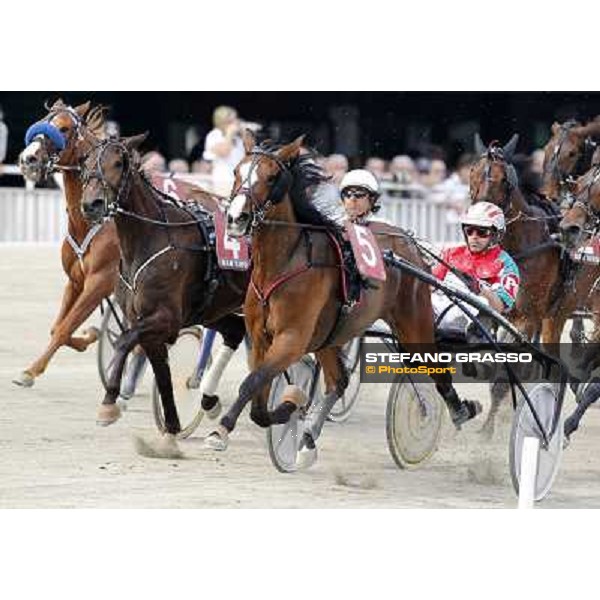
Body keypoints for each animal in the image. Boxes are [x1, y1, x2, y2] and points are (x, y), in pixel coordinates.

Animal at [79, 136, 248, 454]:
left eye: (118, 163)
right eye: (86, 162)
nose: (91, 204)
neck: (149, 238)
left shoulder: (164, 318)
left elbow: (124, 342)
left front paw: (109, 403)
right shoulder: (148, 323)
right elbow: (163, 375)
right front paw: (170, 432)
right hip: (214, 309)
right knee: (235, 330)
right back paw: (209, 401)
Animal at [204, 134, 480, 466]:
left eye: (271, 177)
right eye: (236, 171)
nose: (236, 218)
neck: (284, 263)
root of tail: (407, 241)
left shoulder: (291, 339)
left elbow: (251, 383)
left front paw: (225, 428)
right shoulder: (260, 338)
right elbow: (257, 398)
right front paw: (287, 408)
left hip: (414, 324)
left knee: (436, 369)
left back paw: (459, 410)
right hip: (331, 335)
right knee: (338, 381)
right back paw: (308, 439)